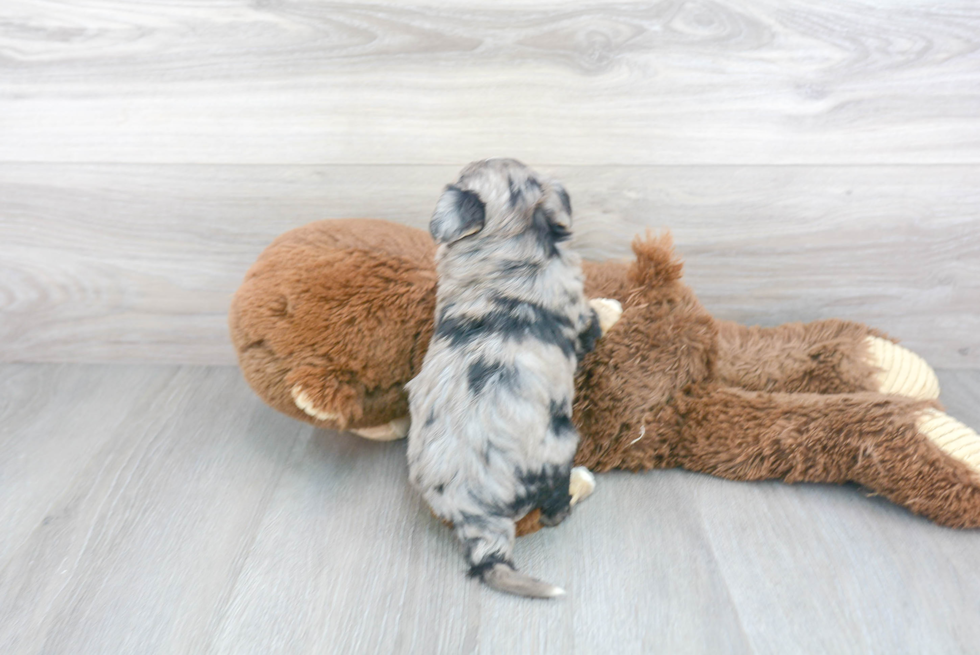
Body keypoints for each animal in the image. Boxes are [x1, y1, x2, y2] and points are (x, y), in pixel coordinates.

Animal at [408, 159, 604, 600]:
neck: (507, 243)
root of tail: (473, 512)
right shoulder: (578, 314)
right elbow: (594, 320)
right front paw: (611, 307)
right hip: (559, 447)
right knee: (553, 507)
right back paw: (580, 482)